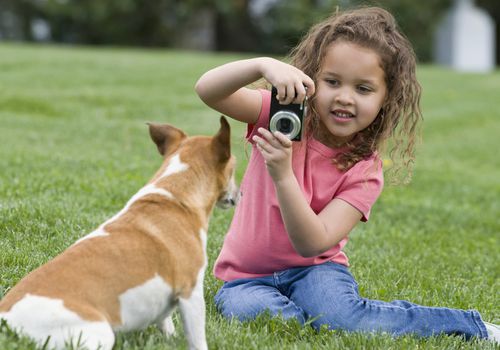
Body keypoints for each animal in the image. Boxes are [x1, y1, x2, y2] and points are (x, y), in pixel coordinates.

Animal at [0, 116, 238, 348]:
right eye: (234, 168)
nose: (241, 193)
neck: (175, 194)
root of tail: (7, 321)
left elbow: (166, 322)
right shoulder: (191, 292)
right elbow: (197, 339)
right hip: (98, 334)